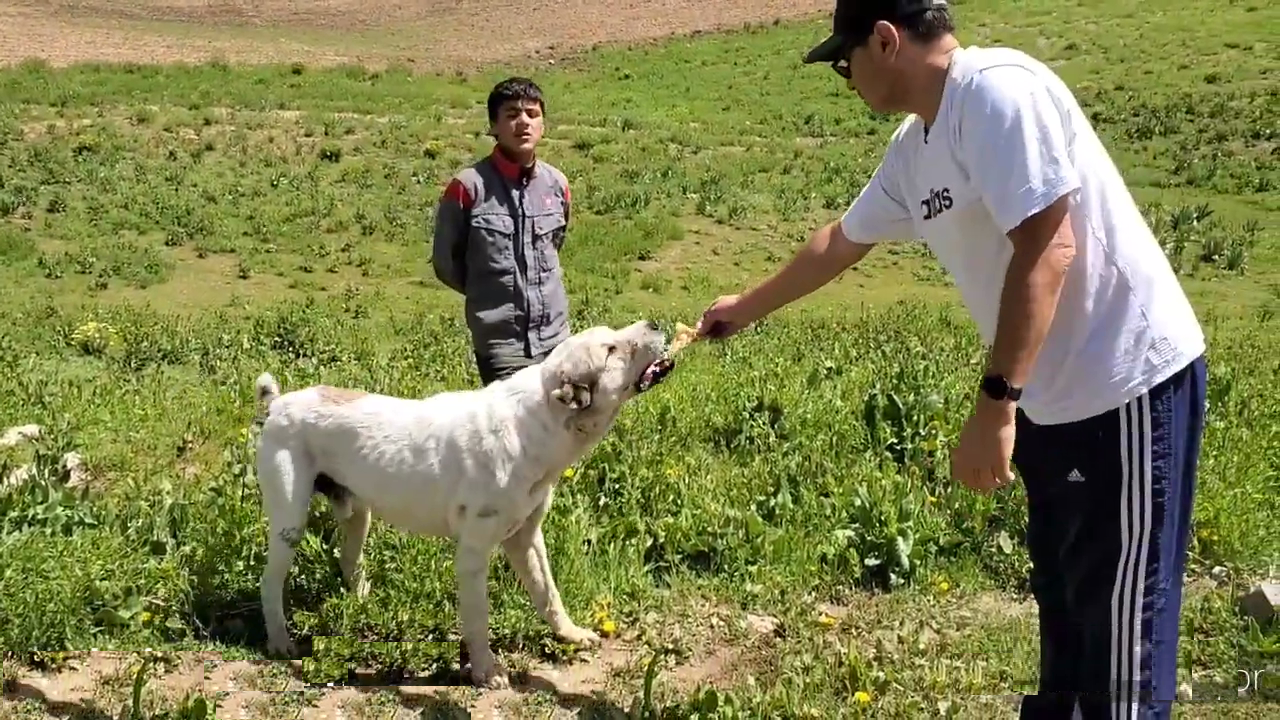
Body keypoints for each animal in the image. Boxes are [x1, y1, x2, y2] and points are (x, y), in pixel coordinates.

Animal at [244, 317, 675, 681]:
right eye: (610, 350)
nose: (655, 323)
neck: (537, 423)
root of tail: (277, 403)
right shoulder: (473, 553)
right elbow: (478, 617)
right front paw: (486, 671)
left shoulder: (526, 538)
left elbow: (548, 594)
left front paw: (570, 634)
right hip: (290, 523)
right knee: (270, 582)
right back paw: (280, 642)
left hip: (358, 514)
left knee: (348, 561)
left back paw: (364, 603)